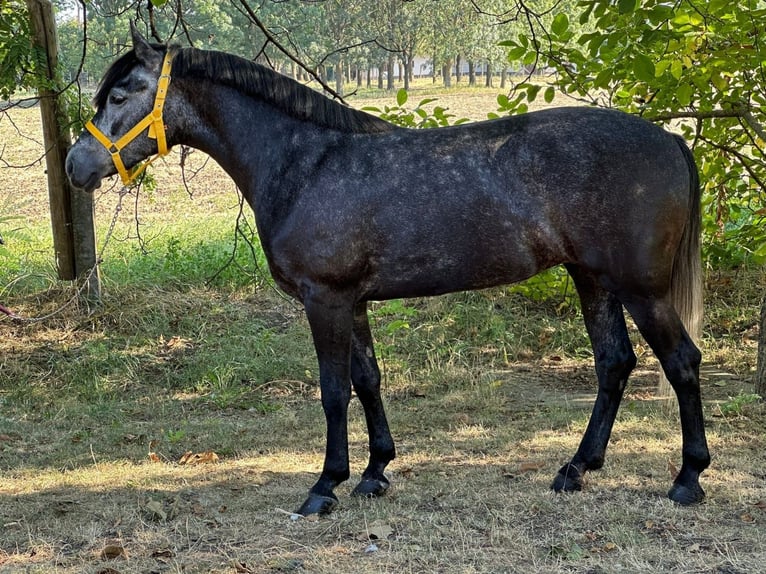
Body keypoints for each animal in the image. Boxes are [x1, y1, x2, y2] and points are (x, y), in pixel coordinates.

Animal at [66, 25, 712, 516]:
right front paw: (375, 473)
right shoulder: (352, 301)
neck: (304, 163)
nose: (76, 165)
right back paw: (576, 468)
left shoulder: (324, 299)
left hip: (642, 288)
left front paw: (325, 486)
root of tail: (669, 139)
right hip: (592, 279)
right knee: (614, 364)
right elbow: (368, 380)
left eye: (121, 95)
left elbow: (332, 391)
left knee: (681, 362)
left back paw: (688, 479)